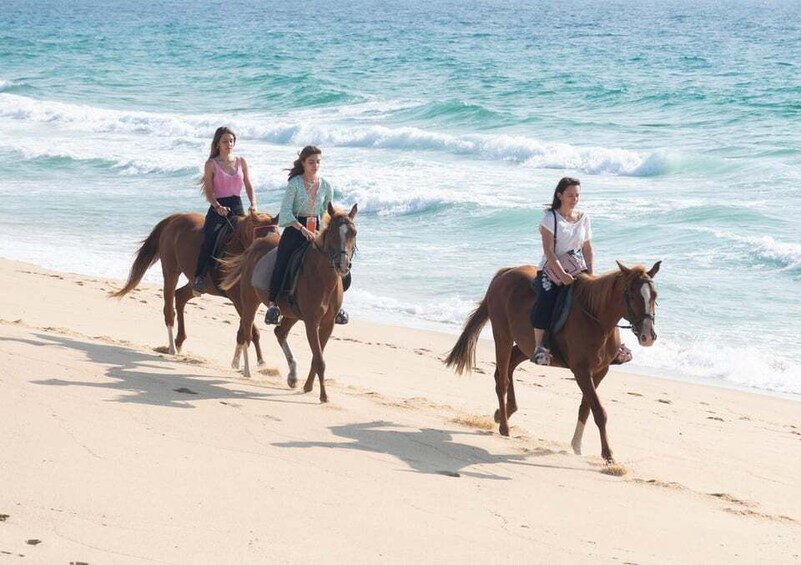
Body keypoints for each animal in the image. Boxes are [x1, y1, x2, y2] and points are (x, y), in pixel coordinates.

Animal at [109, 209, 278, 364]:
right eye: (262, 237)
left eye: (277, 235)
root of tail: (175, 218)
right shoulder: (238, 299)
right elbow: (251, 329)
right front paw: (258, 364)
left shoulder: (246, 299)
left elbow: (247, 330)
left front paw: (258, 362)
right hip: (171, 272)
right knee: (169, 309)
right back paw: (172, 347)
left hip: (197, 284)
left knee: (180, 296)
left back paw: (179, 341)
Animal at [219, 202, 356, 400]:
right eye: (332, 234)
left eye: (354, 232)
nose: (343, 265)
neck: (323, 277)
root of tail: (255, 245)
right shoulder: (311, 322)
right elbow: (319, 359)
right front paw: (323, 396)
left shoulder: (328, 323)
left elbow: (317, 356)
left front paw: (308, 386)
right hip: (250, 302)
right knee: (246, 333)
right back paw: (246, 370)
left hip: (292, 314)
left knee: (279, 332)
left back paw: (292, 376)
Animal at [440, 260, 660, 462]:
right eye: (631, 295)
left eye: (655, 296)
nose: (648, 336)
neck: (596, 319)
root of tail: (506, 273)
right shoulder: (581, 371)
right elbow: (598, 411)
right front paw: (608, 454)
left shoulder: (600, 370)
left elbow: (586, 407)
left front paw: (577, 445)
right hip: (502, 336)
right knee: (502, 379)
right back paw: (504, 426)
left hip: (525, 346)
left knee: (507, 369)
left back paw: (506, 411)